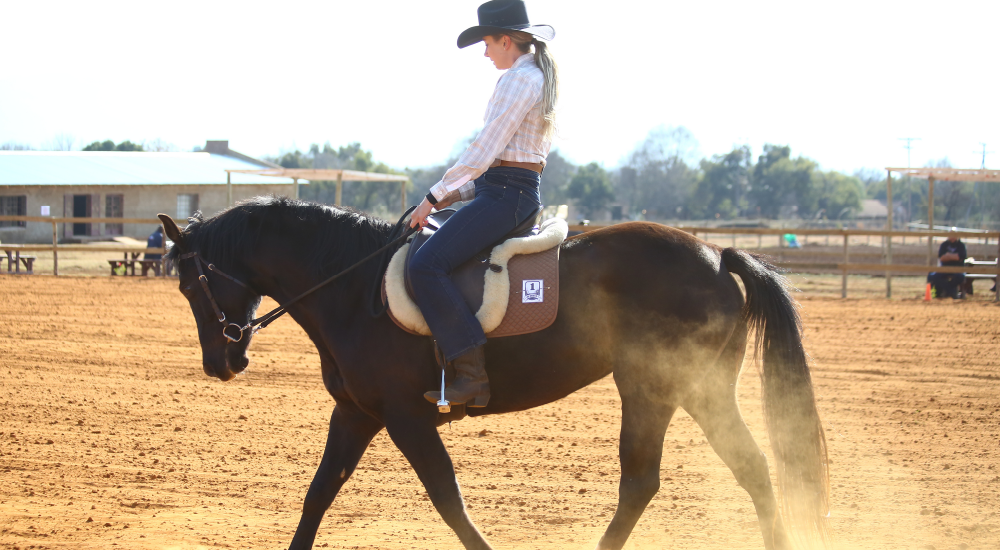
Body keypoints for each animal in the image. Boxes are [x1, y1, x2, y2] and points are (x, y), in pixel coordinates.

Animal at [159, 196, 829, 550]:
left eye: (190, 284)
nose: (222, 363)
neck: (351, 285)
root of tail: (717, 255)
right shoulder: (356, 414)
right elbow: (319, 493)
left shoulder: (405, 416)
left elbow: (446, 497)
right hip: (694, 389)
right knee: (745, 469)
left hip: (656, 388)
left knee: (648, 481)